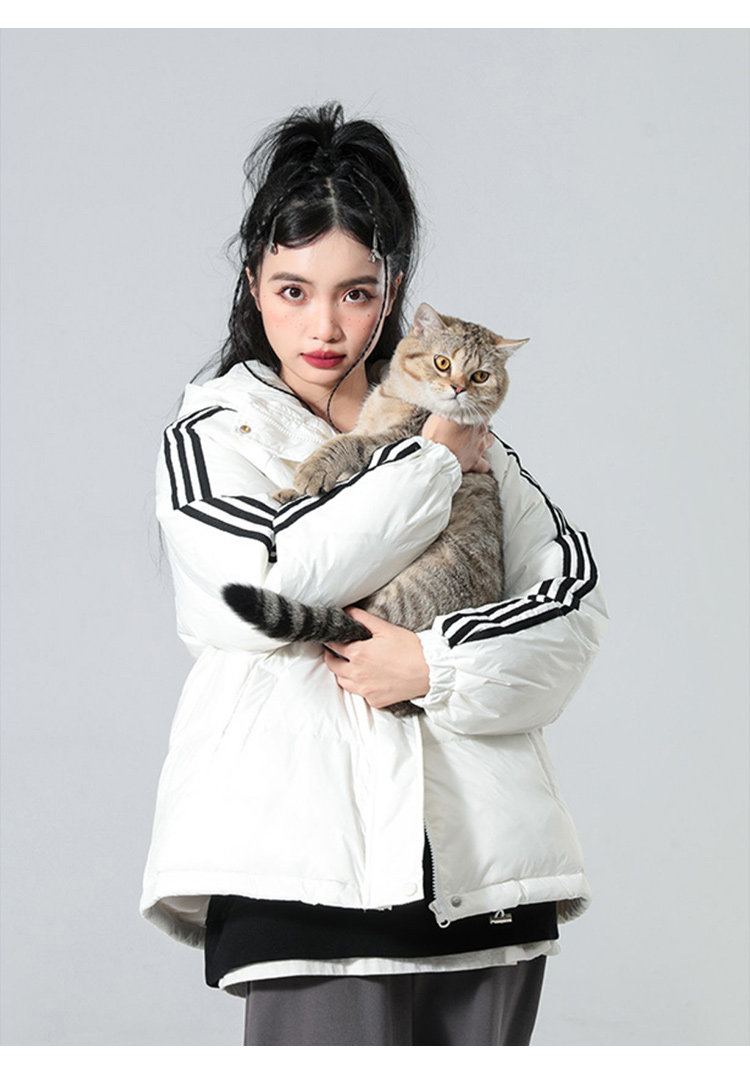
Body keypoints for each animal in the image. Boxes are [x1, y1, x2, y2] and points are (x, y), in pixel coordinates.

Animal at [222, 302, 528, 716]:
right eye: (443, 363)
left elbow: (347, 444)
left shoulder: (394, 439)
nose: (458, 388)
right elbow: (343, 442)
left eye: (480, 376)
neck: (392, 399)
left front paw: (312, 471)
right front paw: (293, 488)